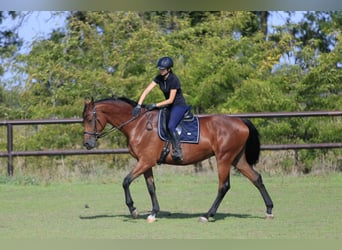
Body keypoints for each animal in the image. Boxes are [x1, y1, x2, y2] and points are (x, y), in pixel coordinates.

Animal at [81, 96, 274, 223]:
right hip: (237, 159)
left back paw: (207, 215)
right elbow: (151, 188)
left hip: (224, 159)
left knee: (223, 186)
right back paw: (269, 210)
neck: (138, 124)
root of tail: (240, 121)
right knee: (256, 178)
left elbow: (126, 181)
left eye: (90, 119)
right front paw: (153, 213)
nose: (87, 143)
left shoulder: (145, 162)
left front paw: (133, 209)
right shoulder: (146, 163)